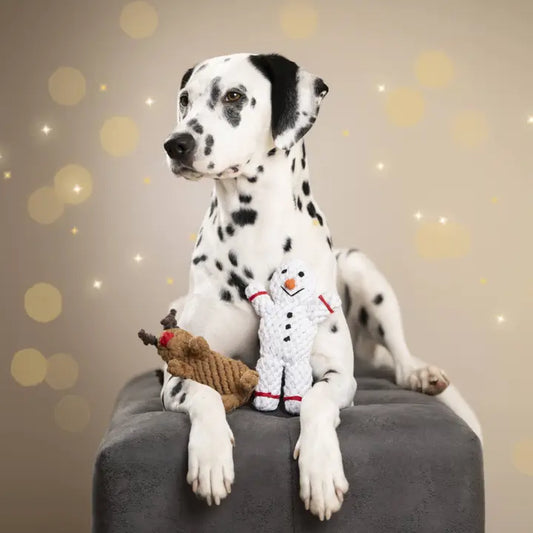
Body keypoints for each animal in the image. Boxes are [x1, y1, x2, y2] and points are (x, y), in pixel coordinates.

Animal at [160, 53, 480, 520]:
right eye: (185, 99)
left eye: (233, 96)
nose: (175, 144)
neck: (257, 234)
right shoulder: (179, 375)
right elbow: (203, 390)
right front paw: (211, 456)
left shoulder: (338, 376)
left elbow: (315, 400)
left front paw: (321, 470)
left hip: (362, 271)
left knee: (399, 355)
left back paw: (420, 374)